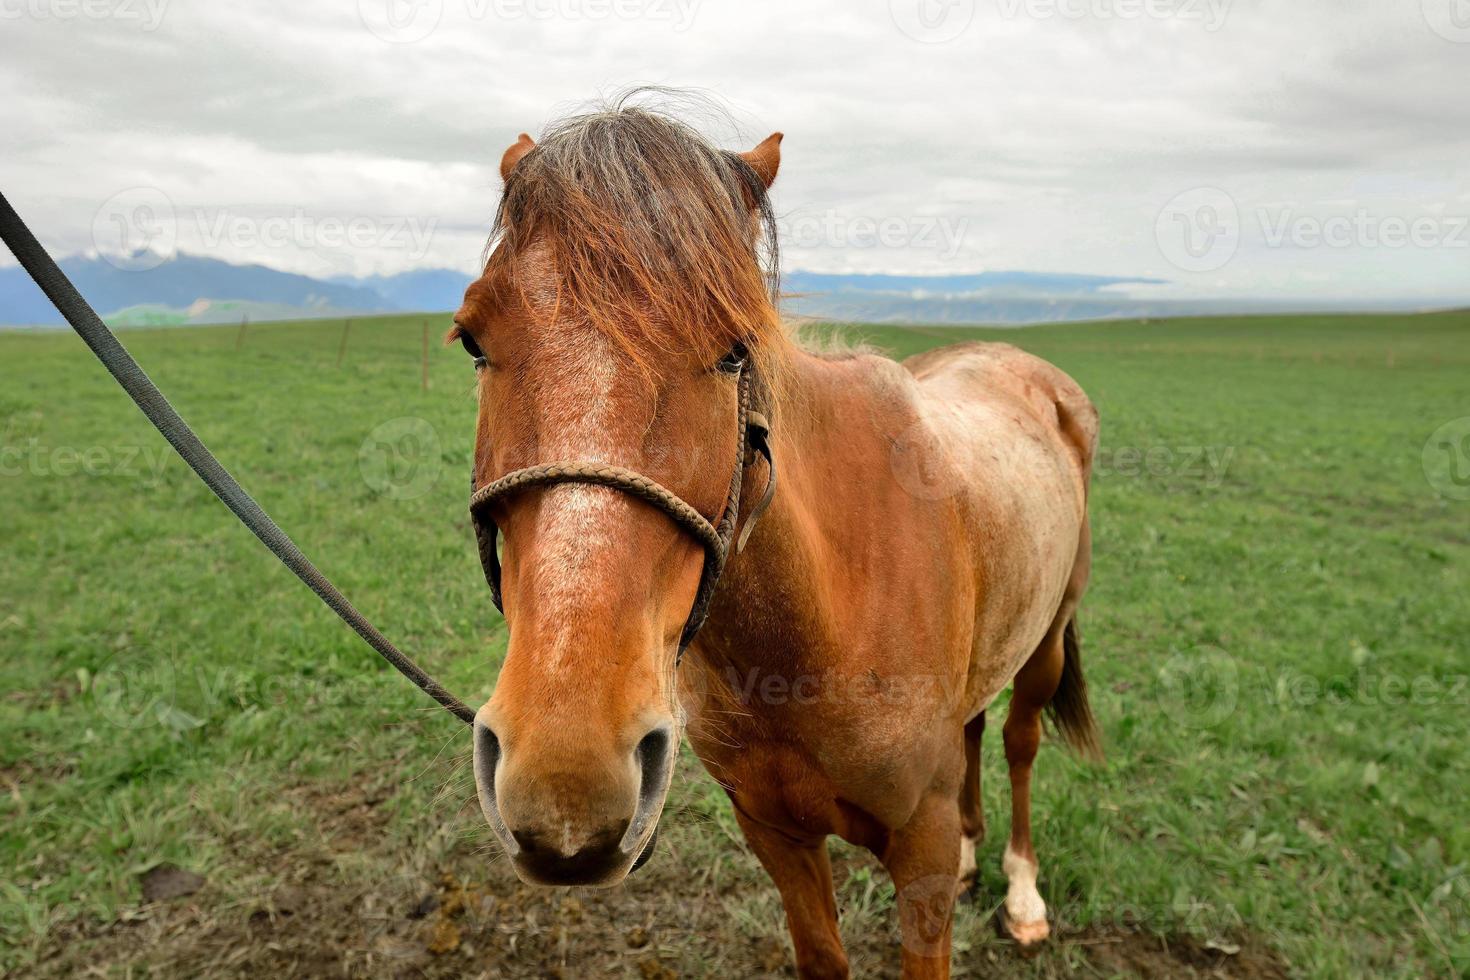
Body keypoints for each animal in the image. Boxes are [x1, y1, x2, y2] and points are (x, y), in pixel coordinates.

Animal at [452, 103, 1099, 975]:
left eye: (735, 349)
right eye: (472, 340)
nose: (565, 775)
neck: (818, 615)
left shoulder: (918, 854)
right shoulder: (775, 833)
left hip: (1049, 639)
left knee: (1020, 740)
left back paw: (1022, 894)